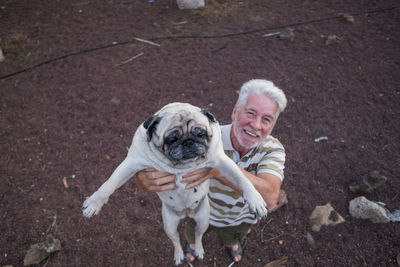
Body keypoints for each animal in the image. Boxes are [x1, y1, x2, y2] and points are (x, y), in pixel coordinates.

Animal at [82, 102, 268, 266]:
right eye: (171, 139)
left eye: (200, 134)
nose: (188, 142)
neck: (180, 165)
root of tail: (186, 214)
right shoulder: (132, 162)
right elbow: (109, 184)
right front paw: (94, 203)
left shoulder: (221, 161)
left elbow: (242, 179)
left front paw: (255, 200)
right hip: (169, 224)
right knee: (176, 240)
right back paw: (179, 255)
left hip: (203, 219)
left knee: (198, 236)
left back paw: (198, 250)